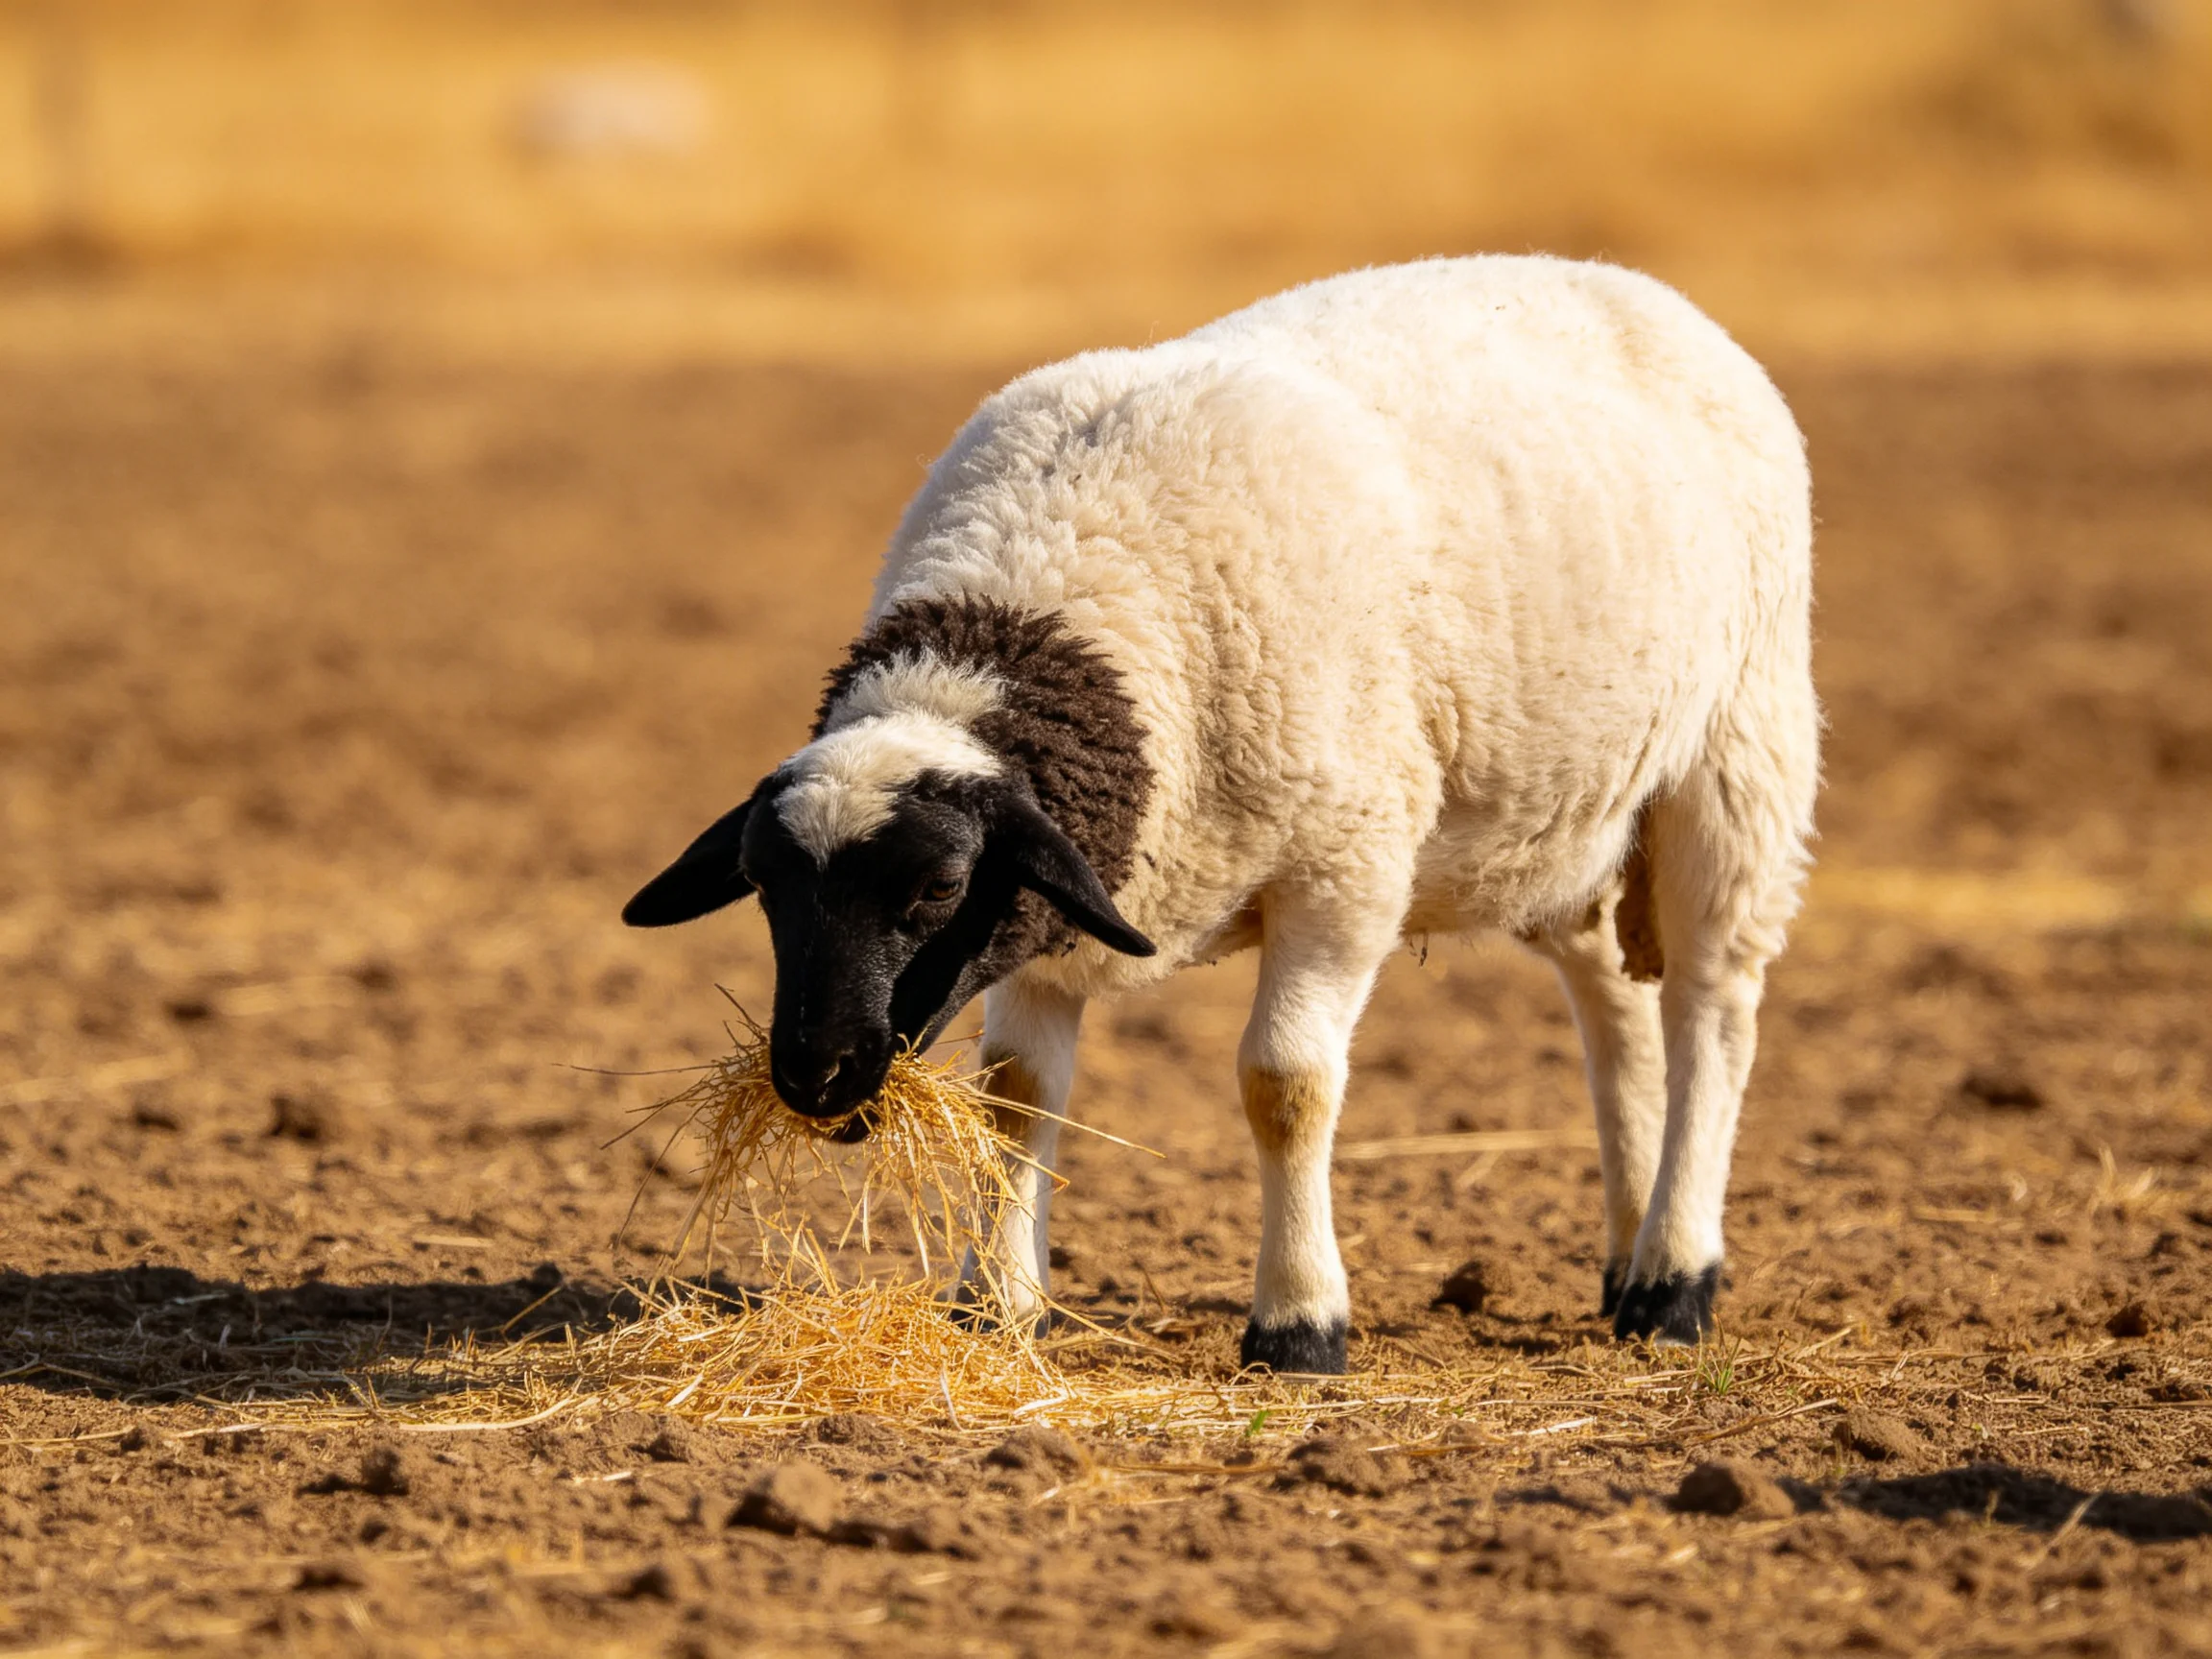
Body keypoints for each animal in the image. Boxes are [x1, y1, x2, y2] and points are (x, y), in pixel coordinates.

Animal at [623, 255, 1818, 1368]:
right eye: (764, 890)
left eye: (939, 886)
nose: (814, 1077)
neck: (1066, 565)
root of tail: (1618, 280)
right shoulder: (1064, 889)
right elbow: (1019, 1095)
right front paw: (995, 1307)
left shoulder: (1344, 868)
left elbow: (1284, 1086)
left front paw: (1298, 1326)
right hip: (1572, 814)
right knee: (1615, 1008)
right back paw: (1624, 1261)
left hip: (1738, 750)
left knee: (1713, 1011)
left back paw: (1674, 1282)